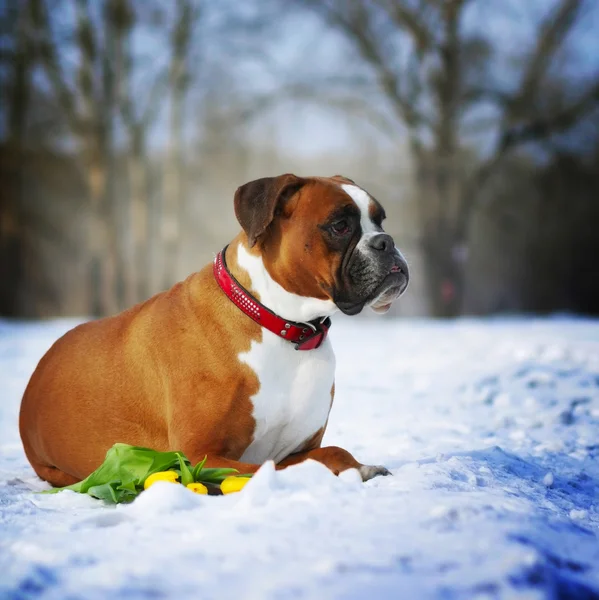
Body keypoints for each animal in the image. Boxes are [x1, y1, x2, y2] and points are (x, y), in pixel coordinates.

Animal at [21, 173, 410, 488]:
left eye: (380, 220)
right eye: (340, 225)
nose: (387, 241)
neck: (284, 329)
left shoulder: (295, 449)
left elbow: (327, 451)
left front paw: (361, 466)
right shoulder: (200, 455)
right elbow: (290, 463)